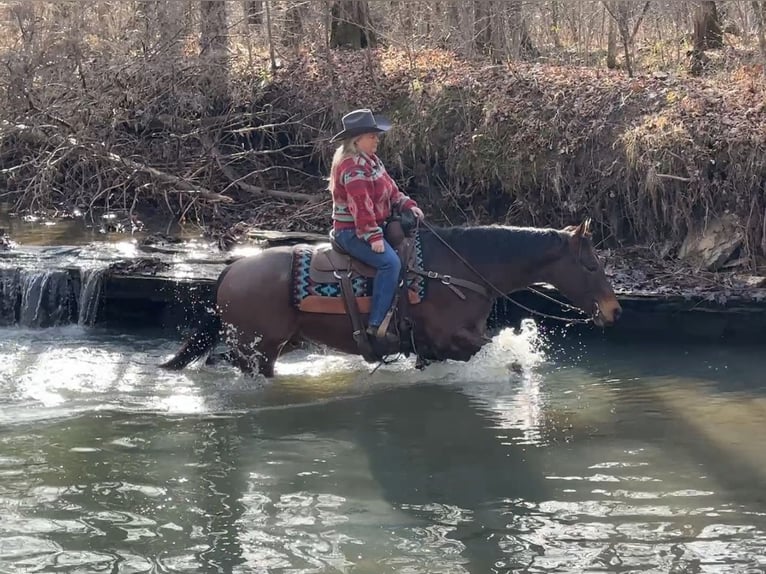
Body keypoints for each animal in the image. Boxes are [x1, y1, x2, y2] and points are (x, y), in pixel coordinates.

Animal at [160, 218, 622, 377]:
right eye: (590, 265)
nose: (614, 310)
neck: (461, 271)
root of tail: (232, 270)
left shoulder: (435, 348)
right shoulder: (453, 340)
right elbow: (508, 358)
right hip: (256, 349)